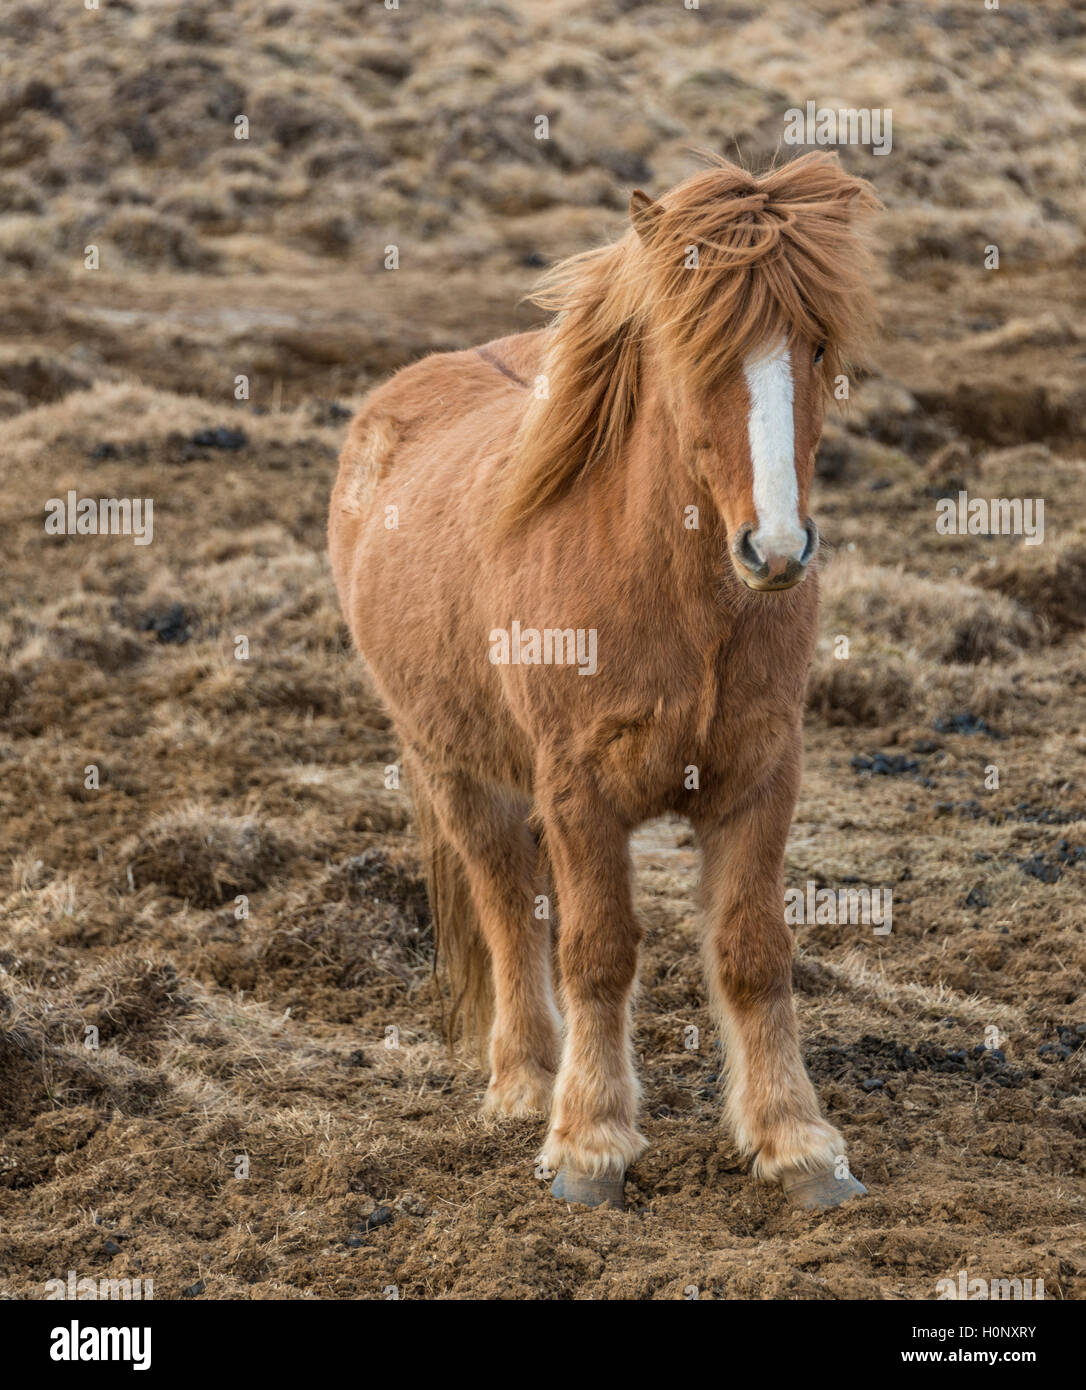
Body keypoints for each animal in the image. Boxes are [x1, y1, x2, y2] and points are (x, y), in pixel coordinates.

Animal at [329, 152, 880, 1210]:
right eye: (692, 351)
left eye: (819, 344)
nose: (776, 549)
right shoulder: (579, 789)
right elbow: (596, 953)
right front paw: (588, 1144)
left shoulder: (761, 776)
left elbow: (754, 952)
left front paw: (798, 1143)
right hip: (456, 767)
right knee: (508, 906)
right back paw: (523, 1082)